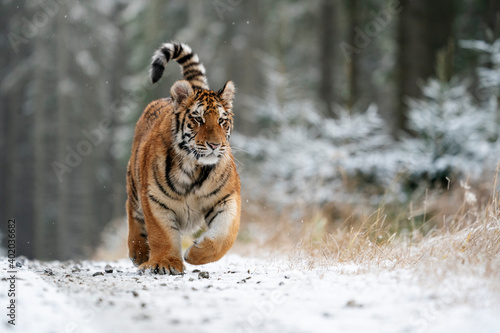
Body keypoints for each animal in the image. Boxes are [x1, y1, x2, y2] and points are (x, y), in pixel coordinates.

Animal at [126, 41, 241, 274]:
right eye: (198, 119)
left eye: (222, 121)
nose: (215, 145)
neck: (194, 168)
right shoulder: (154, 199)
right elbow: (161, 234)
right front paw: (166, 263)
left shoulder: (226, 197)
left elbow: (225, 234)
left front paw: (195, 254)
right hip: (134, 185)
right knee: (133, 214)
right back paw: (139, 253)